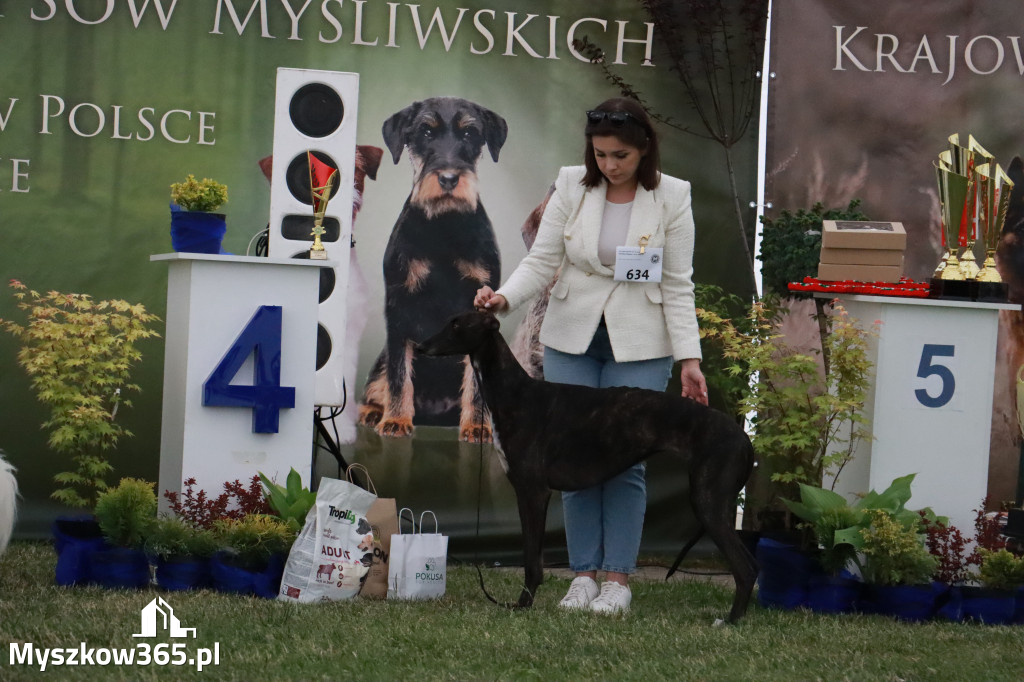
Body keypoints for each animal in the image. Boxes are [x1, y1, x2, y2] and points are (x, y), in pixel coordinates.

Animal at [360, 99, 507, 440]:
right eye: (426, 131)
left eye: (469, 133)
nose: (450, 179)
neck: (444, 225)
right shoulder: (399, 308)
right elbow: (399, 374)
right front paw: (396, 420)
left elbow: (475, 384)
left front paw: (477, 426)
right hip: (380, 363)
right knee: (377, 385)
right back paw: (374, 413)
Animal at [415, 311, 761, 618]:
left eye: (457, 324)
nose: (419, 346)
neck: (515, 392)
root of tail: (744, 439)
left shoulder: (533, 491)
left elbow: (532, 562)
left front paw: (522, 606)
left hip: (708, 499)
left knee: (746, 567)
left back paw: (729, 620)